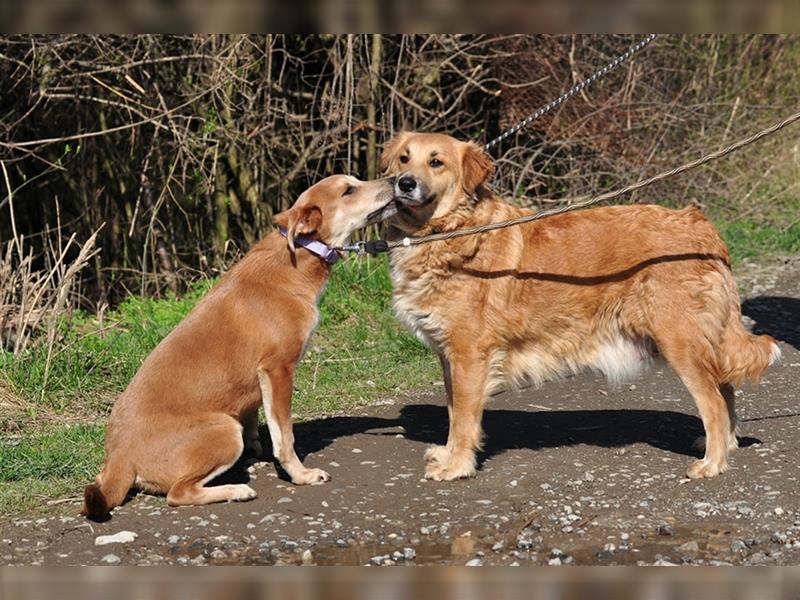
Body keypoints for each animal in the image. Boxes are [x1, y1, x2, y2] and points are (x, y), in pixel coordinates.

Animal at [81, 175, 394, 520]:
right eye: (348, 190)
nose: (396, 180)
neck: (296, 258)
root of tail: (118, 458)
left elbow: (256, 419)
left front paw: (257, 447)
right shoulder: (278, 369)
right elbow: (284, 437)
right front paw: (300, 474)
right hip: (224, 430)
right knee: (178, 493)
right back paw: (235, 490)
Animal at [382, 131, 780, 482]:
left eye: (436, 162)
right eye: (404, 158)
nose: (404, 183)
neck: (449, 232)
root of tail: (699, 224)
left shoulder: (469, 355)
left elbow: (464, 420)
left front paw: (458, 466)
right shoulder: (450, 358)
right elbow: (453, 414)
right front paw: (449, 455)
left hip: (680, 342)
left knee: (714, 402)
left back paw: (713, 462)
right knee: (725, 389)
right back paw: (724, 444)